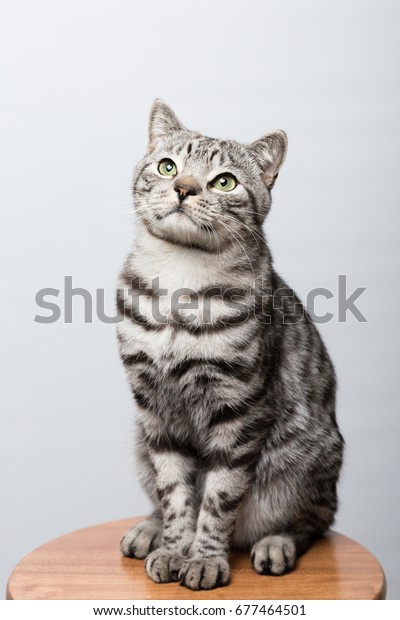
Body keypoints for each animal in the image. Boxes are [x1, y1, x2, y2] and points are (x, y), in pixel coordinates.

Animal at [116, 100, 344, 592]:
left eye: (224, 181)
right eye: (168, 167)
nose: (183, 188)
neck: (179, 279)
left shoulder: (239, 408)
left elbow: (218, 499)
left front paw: (204, 559)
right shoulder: (153, 409)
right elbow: (175, 493)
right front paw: (172, 547)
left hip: (307, 461)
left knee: (314, 522)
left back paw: (276, 544)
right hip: (140, 441)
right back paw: (149, 529)